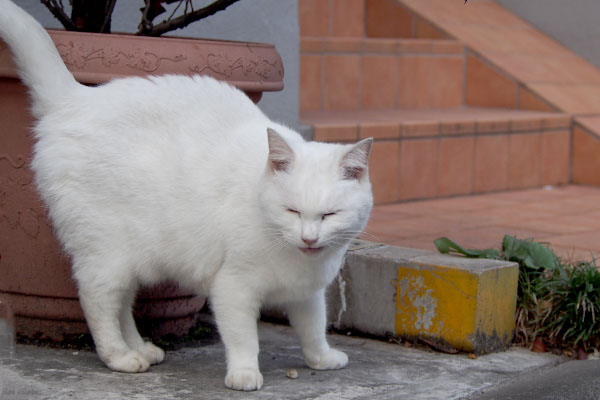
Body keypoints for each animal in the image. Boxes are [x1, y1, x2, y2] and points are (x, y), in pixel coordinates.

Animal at [0, 0, 372, 390]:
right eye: (292, 211)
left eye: (329, 215)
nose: (309, 238)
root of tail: (76, 99)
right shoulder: (233, 288)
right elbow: (243, 338)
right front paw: (244, 373)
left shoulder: (306, 294)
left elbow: (313, 328)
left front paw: (322, 359)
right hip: (106, 253)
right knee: (97, 299)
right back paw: (119, 357)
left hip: (133, 258)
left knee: (122, 304)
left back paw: (141, 349)